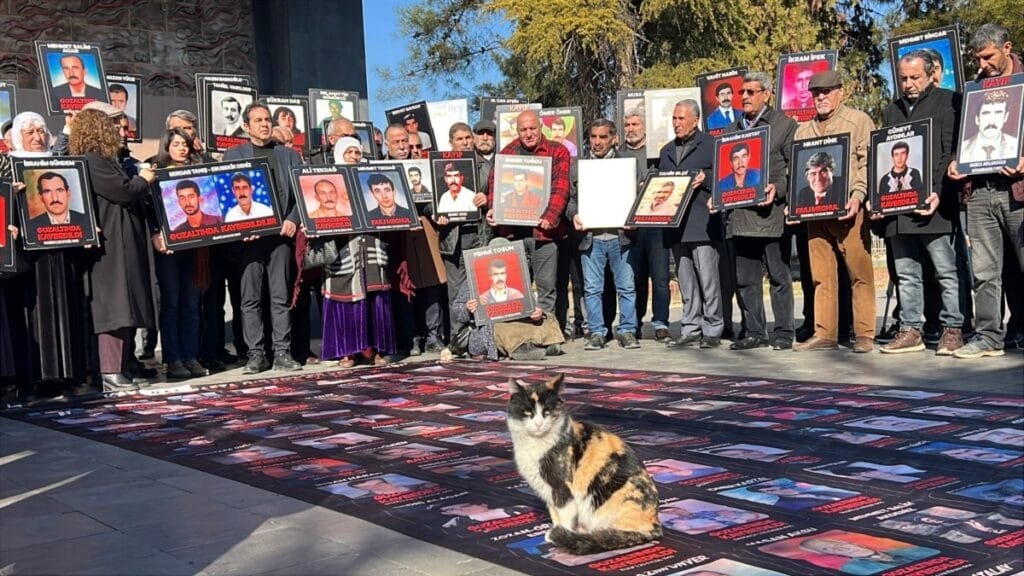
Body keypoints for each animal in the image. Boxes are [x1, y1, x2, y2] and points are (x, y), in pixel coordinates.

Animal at [505, 368, 663, 553]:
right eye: (528, 412)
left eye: (547, 412)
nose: (538, 424)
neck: (534, 445)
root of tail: (655, 523)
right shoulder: (548, 492)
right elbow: (554, 515)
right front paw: (557, 531)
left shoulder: (562, 487)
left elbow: (565, 517)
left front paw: (561, 535)